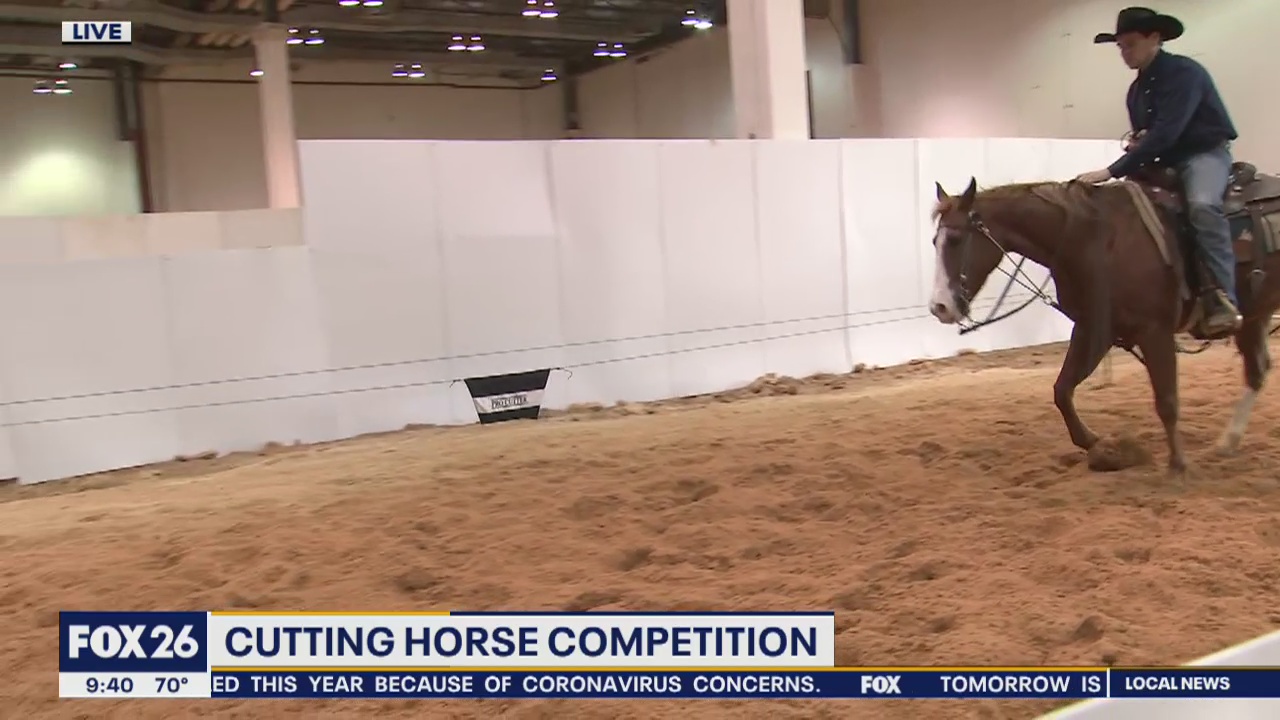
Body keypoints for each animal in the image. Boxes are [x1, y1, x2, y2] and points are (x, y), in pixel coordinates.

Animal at [926, 166, 1280, 474]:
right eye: (934, 242)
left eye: (955, 239)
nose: (939, 307)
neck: (1095, 239)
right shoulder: (1094, 328)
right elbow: (1062, 390)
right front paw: (1098, 445)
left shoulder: (1154, 331)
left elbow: (1167, 401)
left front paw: (1177, 466)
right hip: (1254, 315)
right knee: (1257, 371)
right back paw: (1227, 442)